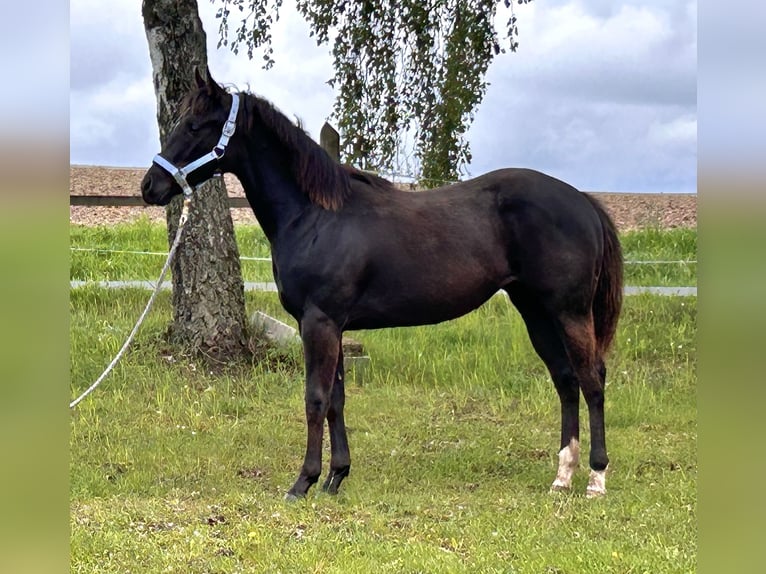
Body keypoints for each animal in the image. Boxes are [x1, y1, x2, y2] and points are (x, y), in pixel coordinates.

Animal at [141, 68, 623, 499]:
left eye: (195, 125)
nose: (150, 186)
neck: (315, 216)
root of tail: (583, 201)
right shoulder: (332, 325)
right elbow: (336, 400)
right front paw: (335, 477)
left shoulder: (319, 322)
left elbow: (315, 398)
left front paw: (303, 482)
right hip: (536, 311)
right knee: (566, 380)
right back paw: (562, 477)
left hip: (568, 311)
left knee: (592, 379)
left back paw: (596, 479)